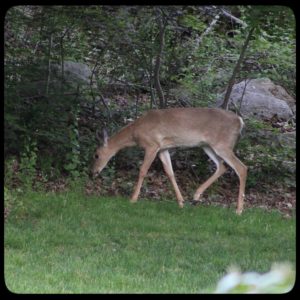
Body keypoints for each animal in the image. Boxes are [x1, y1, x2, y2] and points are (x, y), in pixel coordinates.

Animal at [91, 107, 248, 213]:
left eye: (96, 155)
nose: (92, 172)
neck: (135, 133)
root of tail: (240, 121)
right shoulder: (163, 149)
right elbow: (169, 172)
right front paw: (181, 202)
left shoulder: (152, 145)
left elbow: (143, 170)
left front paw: (133, 199)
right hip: (207, 146)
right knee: (222, 166)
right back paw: (195, 197)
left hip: (222, 145)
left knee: (241, 167)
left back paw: (239, 210)